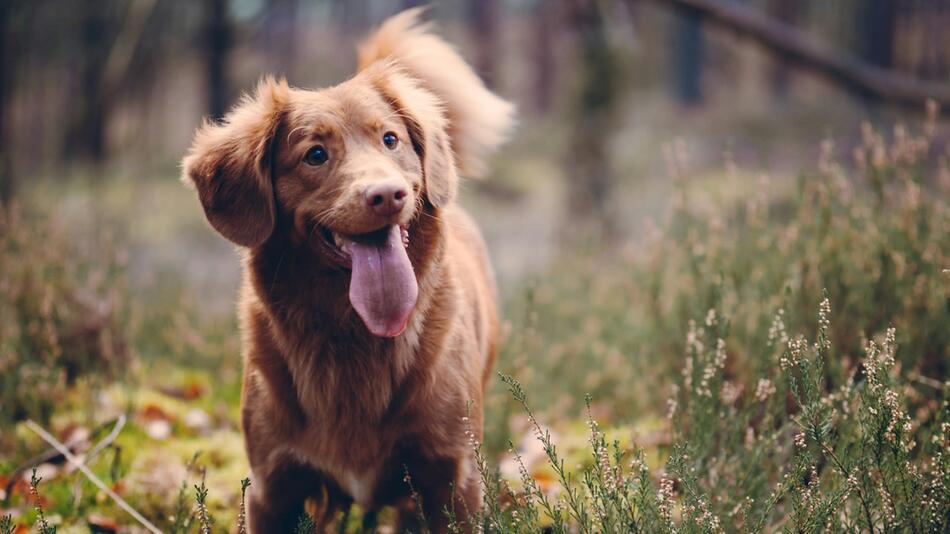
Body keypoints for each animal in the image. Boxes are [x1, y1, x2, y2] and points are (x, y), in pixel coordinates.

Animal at [182, 8, 516, 534]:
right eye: (315, 154)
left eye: (390, 139)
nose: (387, 194)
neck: (351, 334)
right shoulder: (273, 487)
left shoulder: (453, 478)